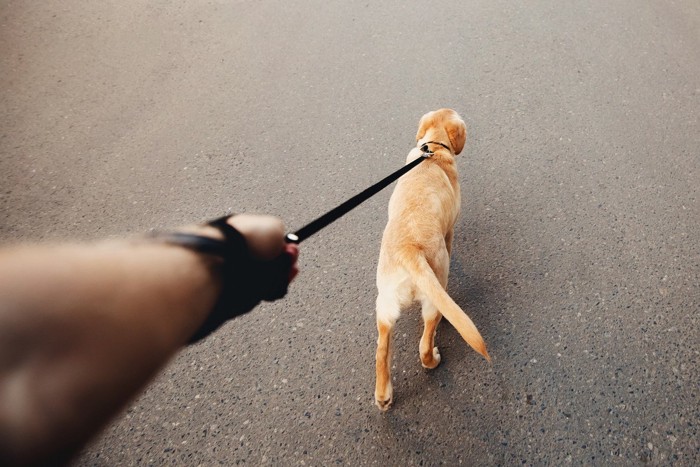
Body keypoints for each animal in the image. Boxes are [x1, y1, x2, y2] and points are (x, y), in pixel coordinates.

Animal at [374, 108, 490, 412]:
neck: (434, 149)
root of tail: (409, 250)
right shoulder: (450, 230)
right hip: (434, 296)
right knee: (424, 345)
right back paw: (434, 359)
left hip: (384, 306)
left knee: (381, 351)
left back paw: (383, 396)